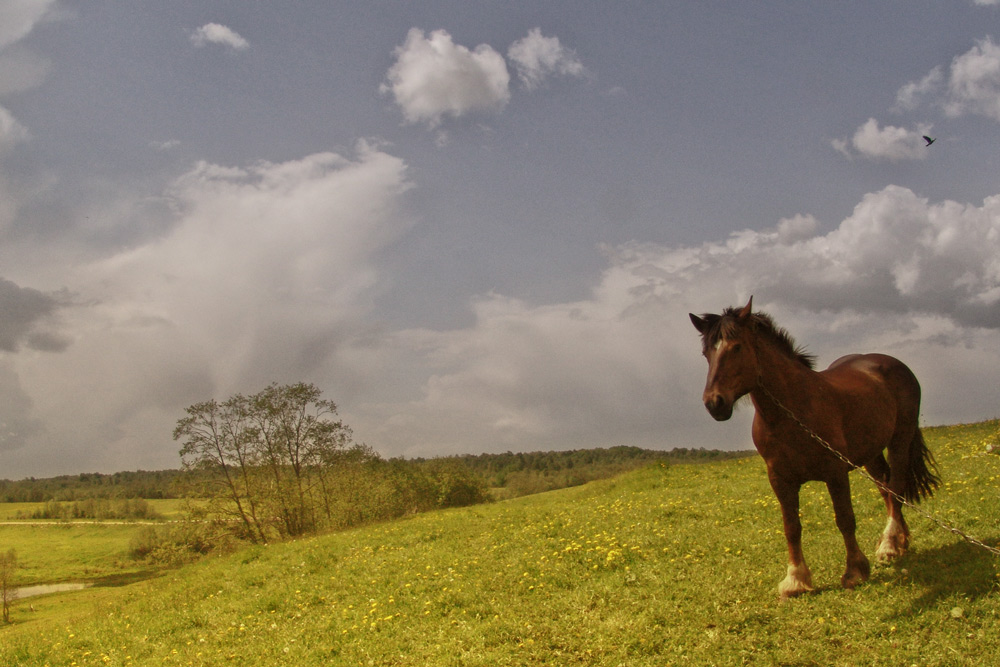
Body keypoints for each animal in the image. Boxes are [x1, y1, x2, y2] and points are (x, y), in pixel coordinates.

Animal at [688, 298, 936, 600]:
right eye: (706, 353)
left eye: (737, 347)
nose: (715, 403)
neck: (793, 410)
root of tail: (892, 364)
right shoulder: (780, 480)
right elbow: (791, 527)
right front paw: (795, 580)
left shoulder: (835, 473)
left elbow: (845, 519)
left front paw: (854, 571)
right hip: (872, 453)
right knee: (886, 488)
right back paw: (900, 541)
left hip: (900, 439)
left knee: (896, 486)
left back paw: (889, 545)